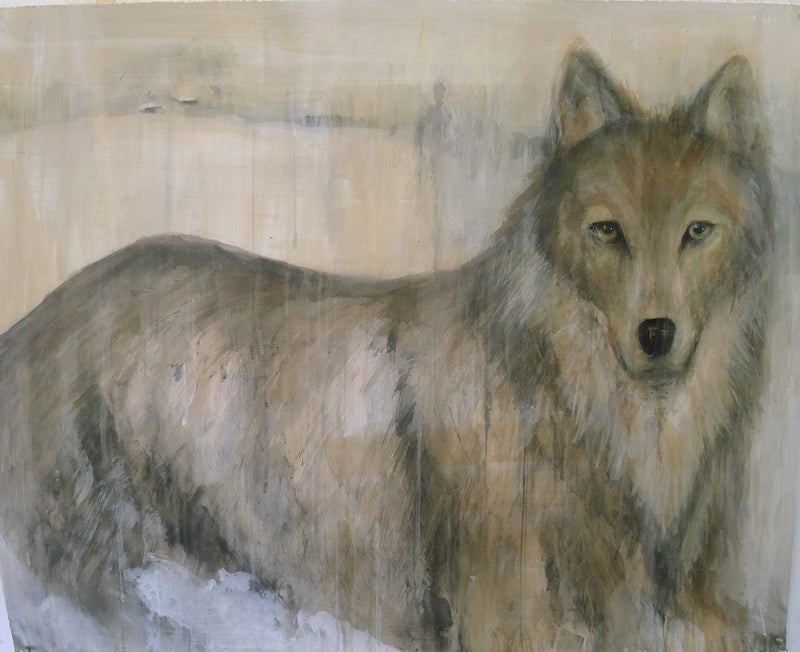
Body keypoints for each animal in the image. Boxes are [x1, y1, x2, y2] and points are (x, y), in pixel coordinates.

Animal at [0, 49, 779, 650]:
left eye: (697, 232)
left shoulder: (670, 601)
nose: (657, 334)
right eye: (608, 231)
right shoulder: (510, 614)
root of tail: (38, 321)